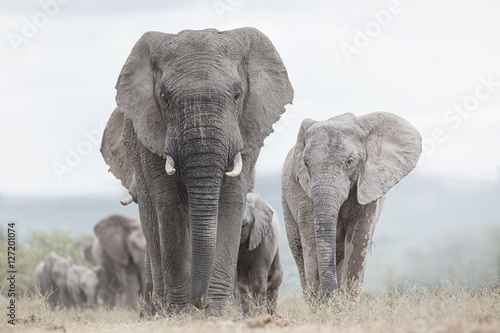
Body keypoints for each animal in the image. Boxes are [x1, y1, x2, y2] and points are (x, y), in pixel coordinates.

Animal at [100, 27, 292, 312]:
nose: (200, 302)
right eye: (166, 100)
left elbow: (230, 201)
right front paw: (181, 312)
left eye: (237, 96)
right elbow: (170, 206)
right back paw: (160, 308)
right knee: (151, 220)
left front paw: (219, 310)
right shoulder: (151, 137)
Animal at [282, 111, 422, 298]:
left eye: (349, 162)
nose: (332, 297)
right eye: (306, 164)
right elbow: (311, 240)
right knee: (299, 251)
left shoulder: (368, 186)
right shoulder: (303, 191)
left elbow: (358, 238)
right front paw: (324, 304)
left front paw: (344, 303)